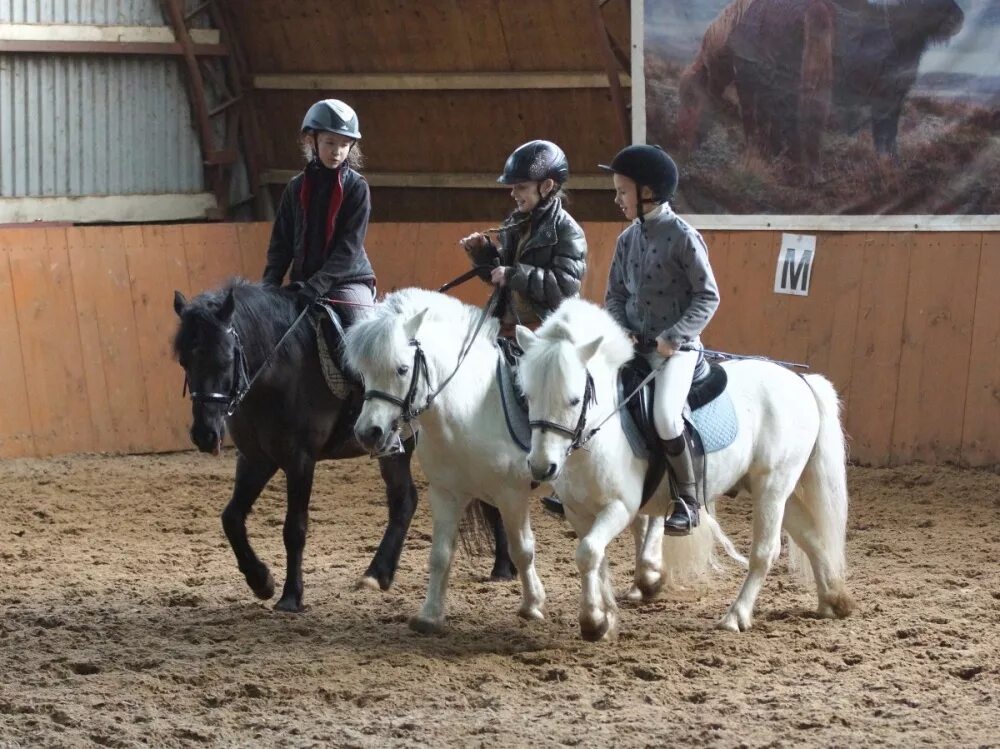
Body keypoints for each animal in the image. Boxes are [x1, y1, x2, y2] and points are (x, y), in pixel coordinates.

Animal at [173, 278, 512, 612]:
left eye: (226, 358)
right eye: (184, 361)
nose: (204, 435)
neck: (278, 370)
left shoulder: (300, 459)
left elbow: (294, 529)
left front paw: (290, 596)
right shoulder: (255, 459)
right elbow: (231, 518)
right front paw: (261, 581)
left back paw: (502, 568)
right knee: (405, 500)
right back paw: (378, 574)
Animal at [340, 286, 668, 632]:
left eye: (402, 369)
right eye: (363, 372)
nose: (368, 433)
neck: (470, 409)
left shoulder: (511, 495)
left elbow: (522, 549)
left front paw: (532, 605)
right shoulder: (445, 492)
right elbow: (440, 554)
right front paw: (429, 614)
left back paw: (649, 574)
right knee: (639, 518)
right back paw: (640, 582)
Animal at [520, 298, 856, 636]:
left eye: (575, 400)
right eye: (527, 396)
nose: (542, 467)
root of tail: (800, 381)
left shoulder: (620, 506)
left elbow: (589, 552)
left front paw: (593, 621)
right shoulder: (578, 511)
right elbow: (594, 558)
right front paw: (604, 617)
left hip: (772, 486)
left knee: (765, 552)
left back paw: (736, 615)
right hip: (772, 486)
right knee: (810, 535)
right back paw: (832, 600)